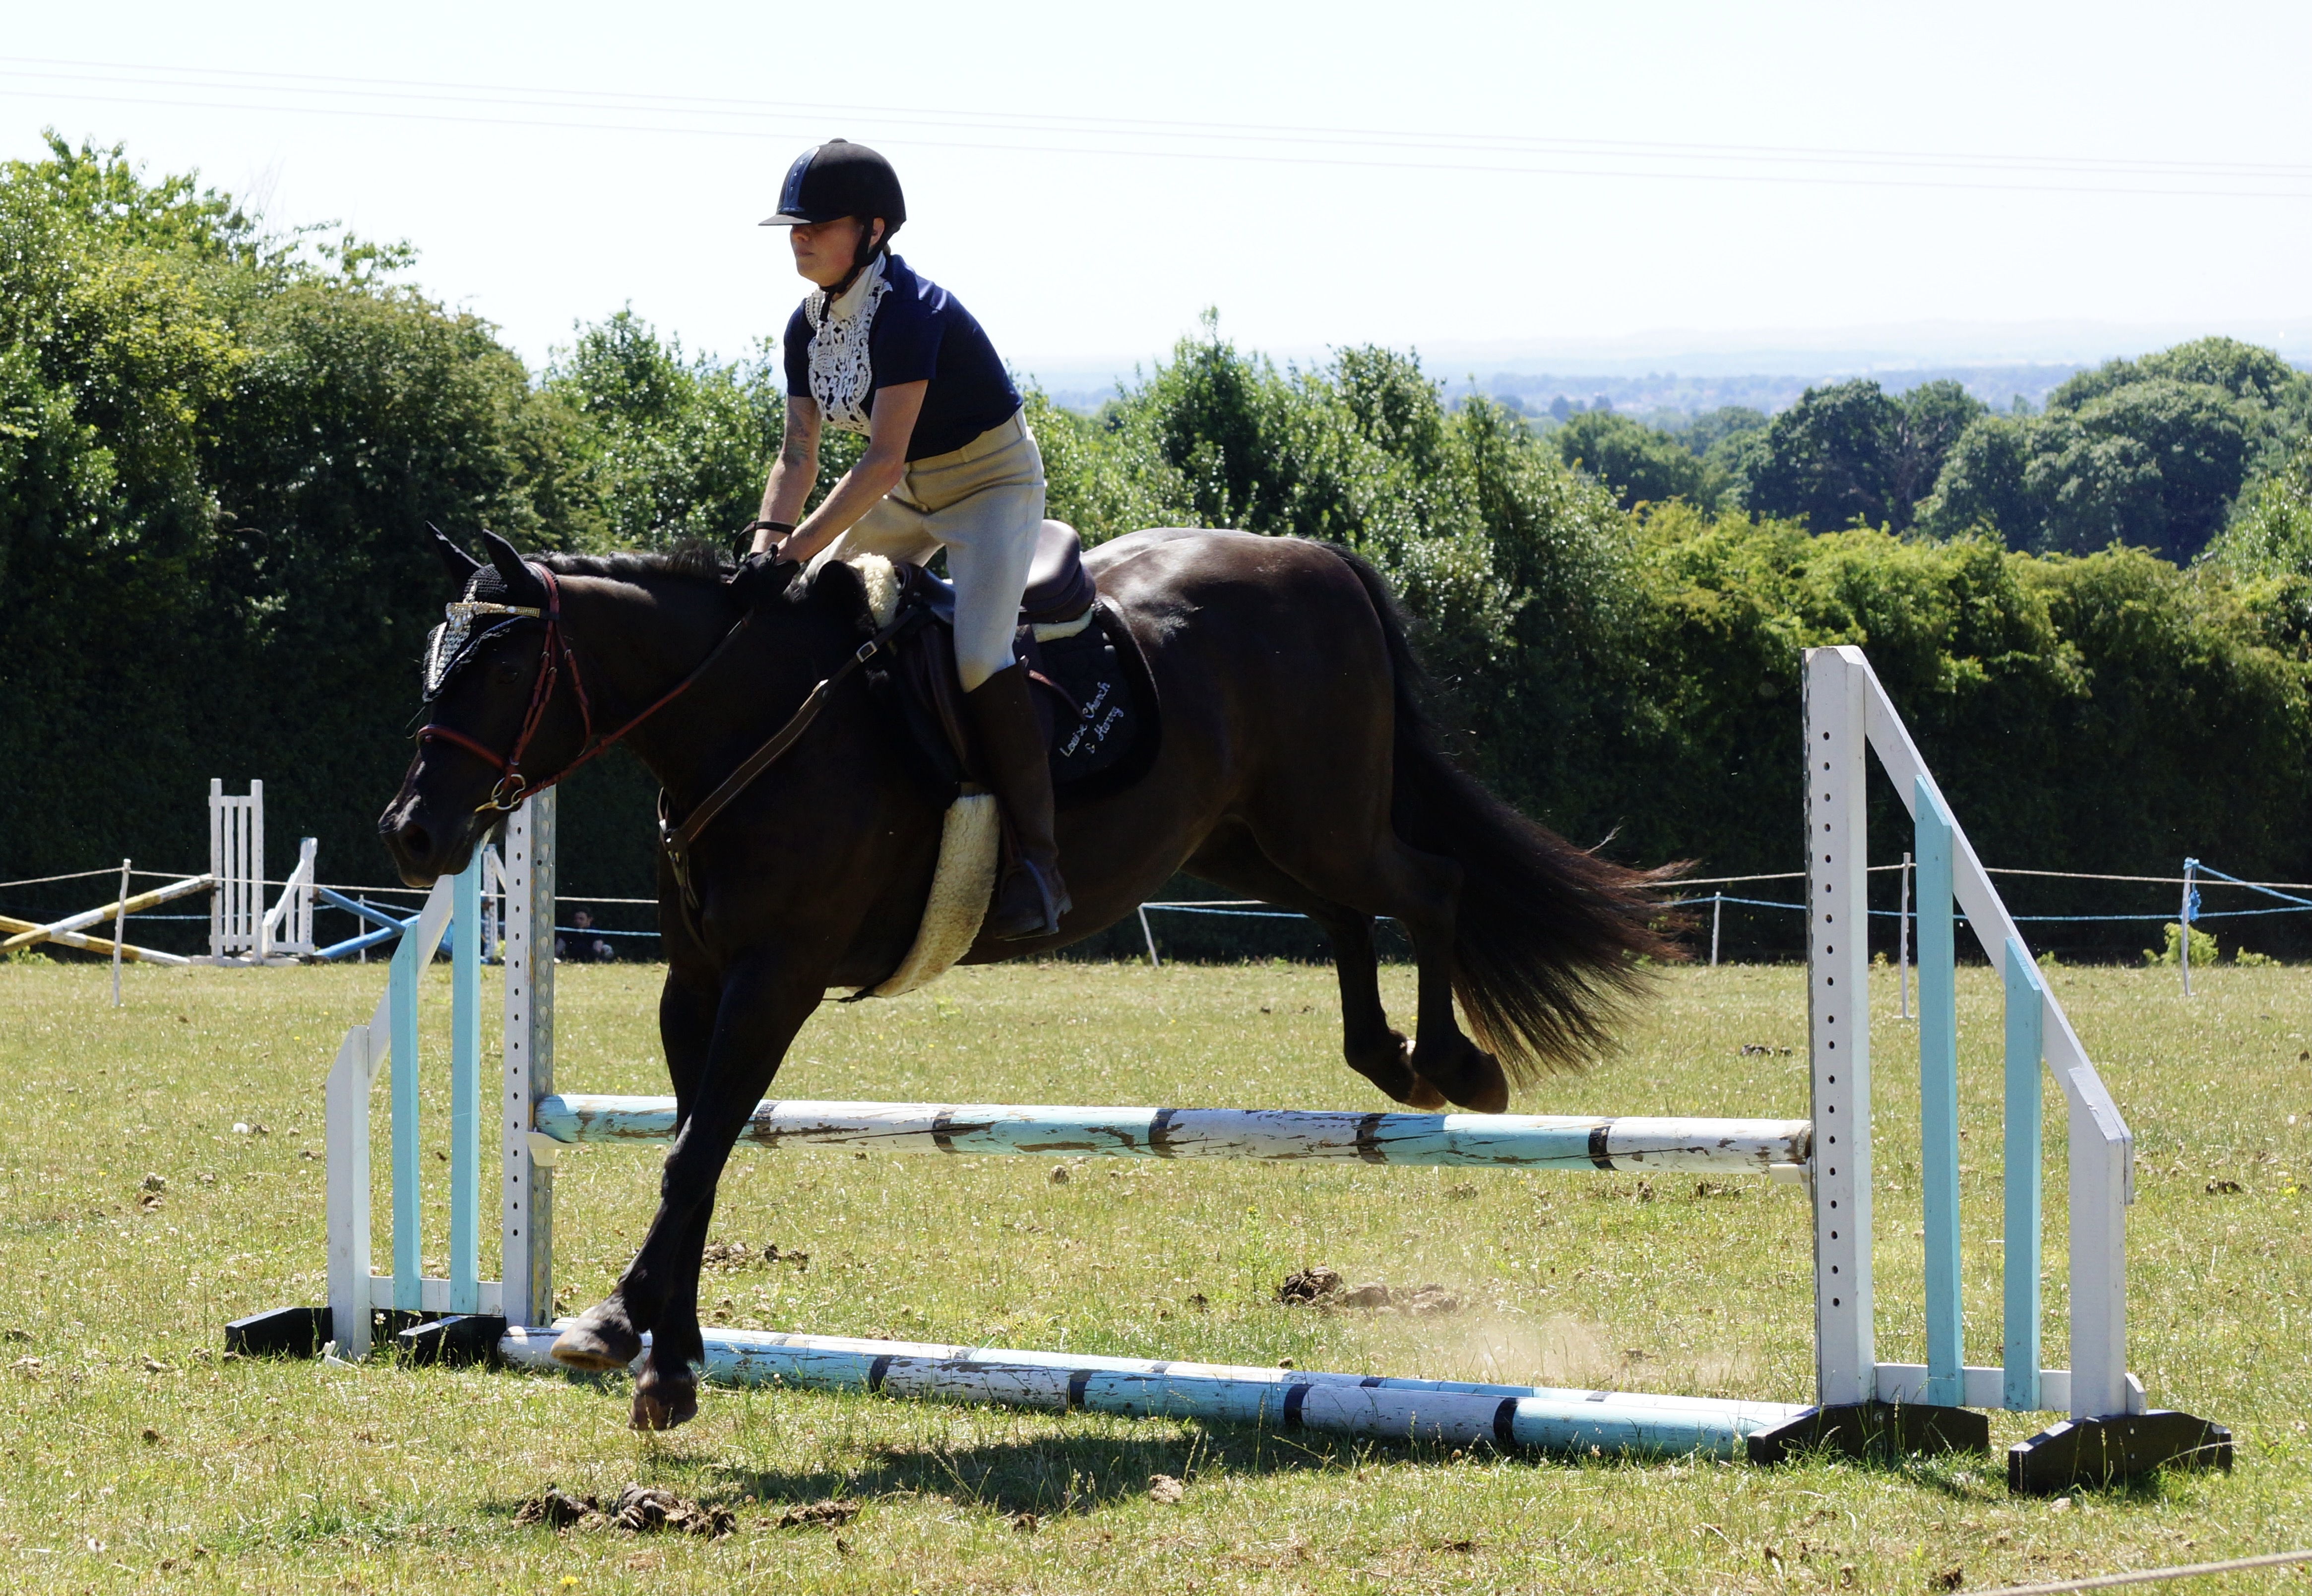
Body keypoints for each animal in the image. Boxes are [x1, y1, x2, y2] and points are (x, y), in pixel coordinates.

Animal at [383, 527, 1683, 1424]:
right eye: (430, 662)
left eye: (496, 673)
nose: (412, 833)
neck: (750, 721)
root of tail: (1318, 559)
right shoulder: (696, 984)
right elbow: (698, 1154)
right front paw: (670, 1359)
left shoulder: (776, 976)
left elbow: (691, 1152)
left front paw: (616, 1329)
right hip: (1240, 834)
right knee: (1350, 910)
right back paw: (1389, 1058)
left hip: (1316, 819)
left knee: (1430, 886)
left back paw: (1454, 1064)